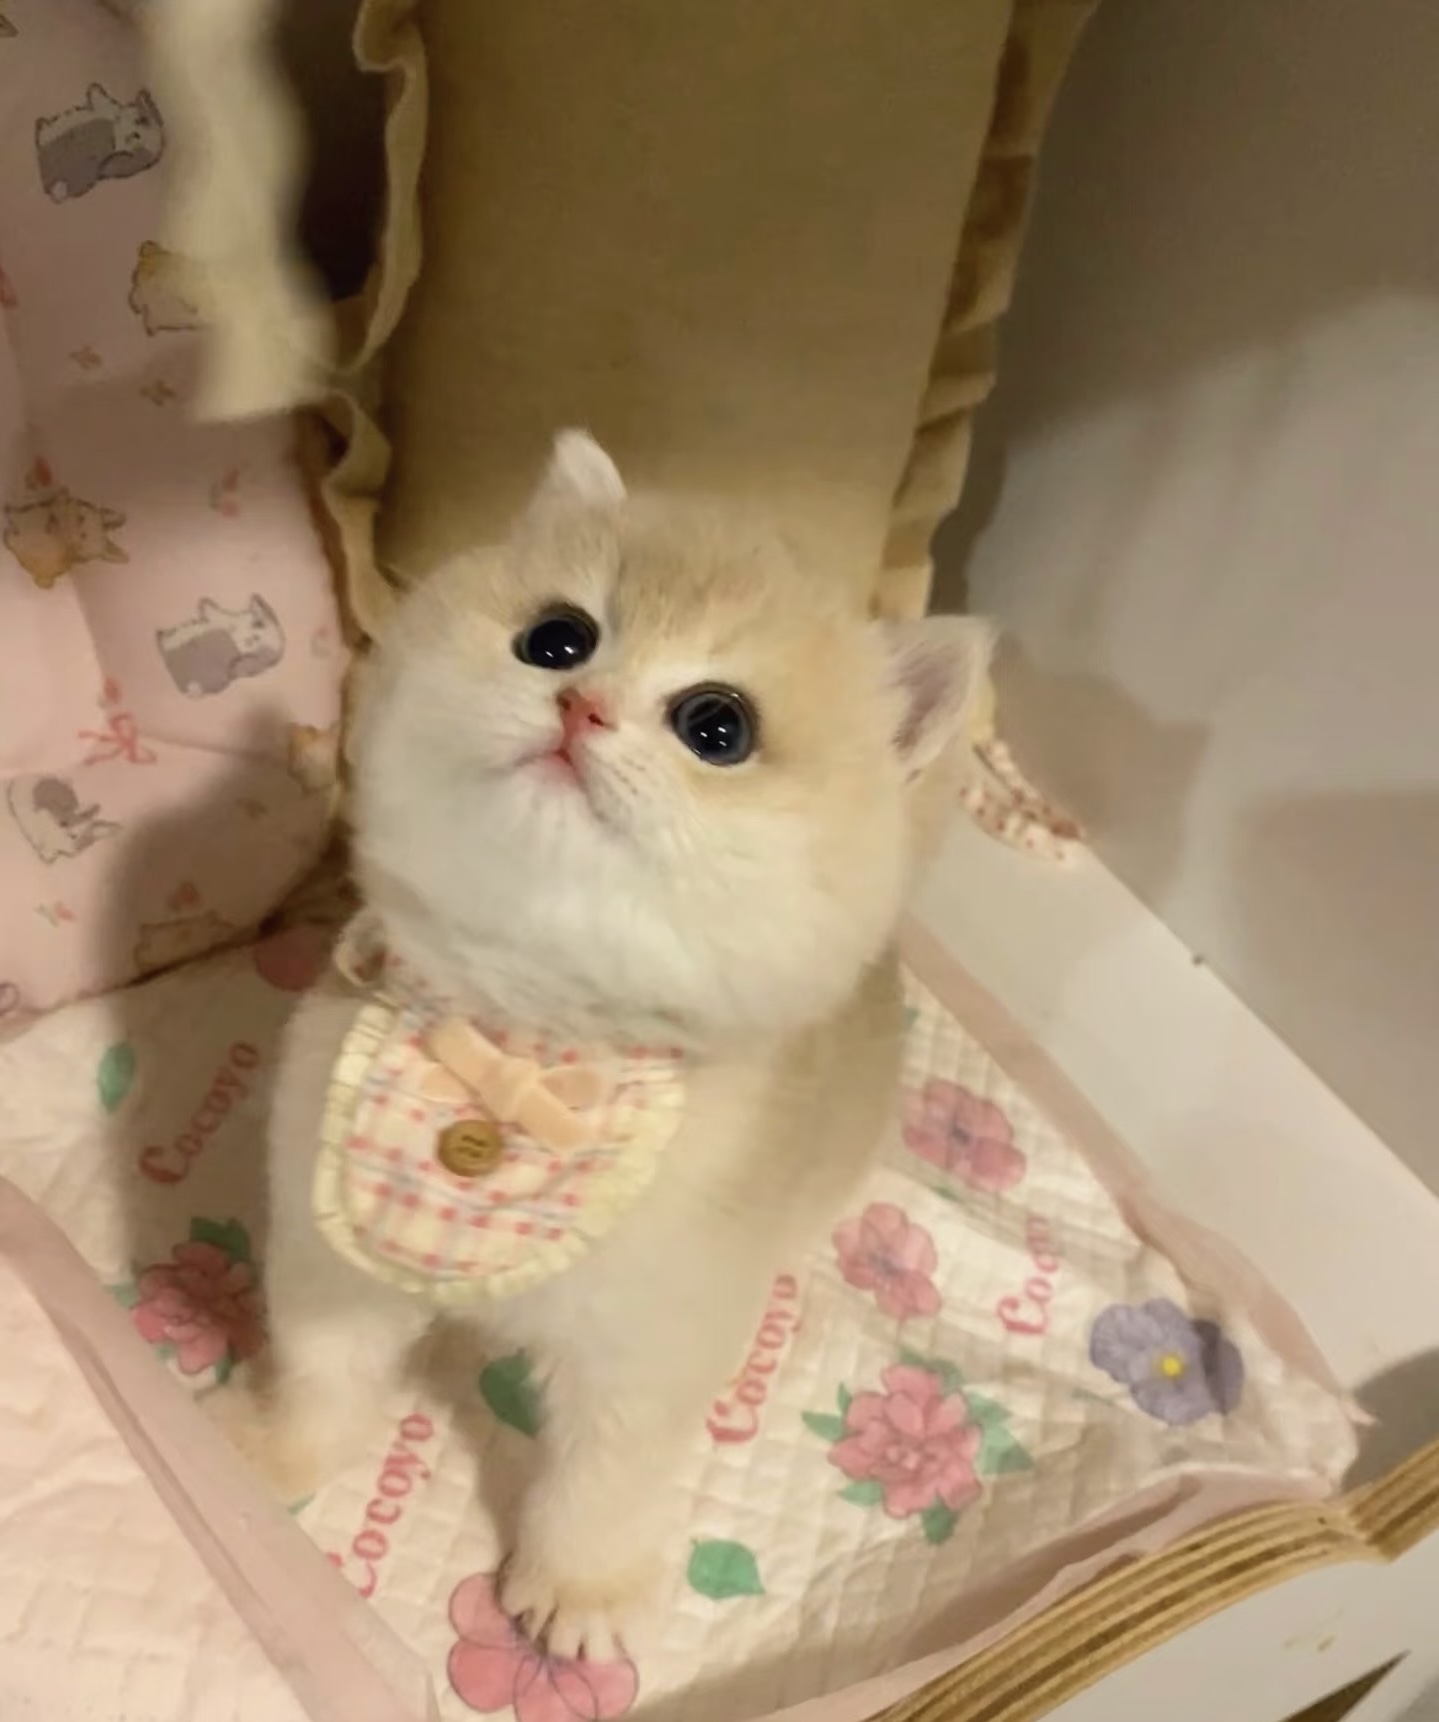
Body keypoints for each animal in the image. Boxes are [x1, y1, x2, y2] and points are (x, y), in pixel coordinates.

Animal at [35, 83, 164, 203]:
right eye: (141, 120)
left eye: (136, 135)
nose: (142, 122)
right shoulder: (110, 109)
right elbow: (102, 100)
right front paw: (95, 90)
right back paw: (42, 124)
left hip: (69, 179)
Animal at [157, 595, 286, 698]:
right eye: (259, 625)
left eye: (261, 653)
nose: (250, 641)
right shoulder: (230, 620)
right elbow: (219, 615)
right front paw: (205, 605)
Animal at [218, 431, 991, 1659]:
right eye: (557, 638)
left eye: (717, 728)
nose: (580, 706)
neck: (528, 1033)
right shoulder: (331, 1246)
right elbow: (322, 1371)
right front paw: (273, 1454)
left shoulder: (650, 1340)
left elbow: (605, 1477)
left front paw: (574, 1590)